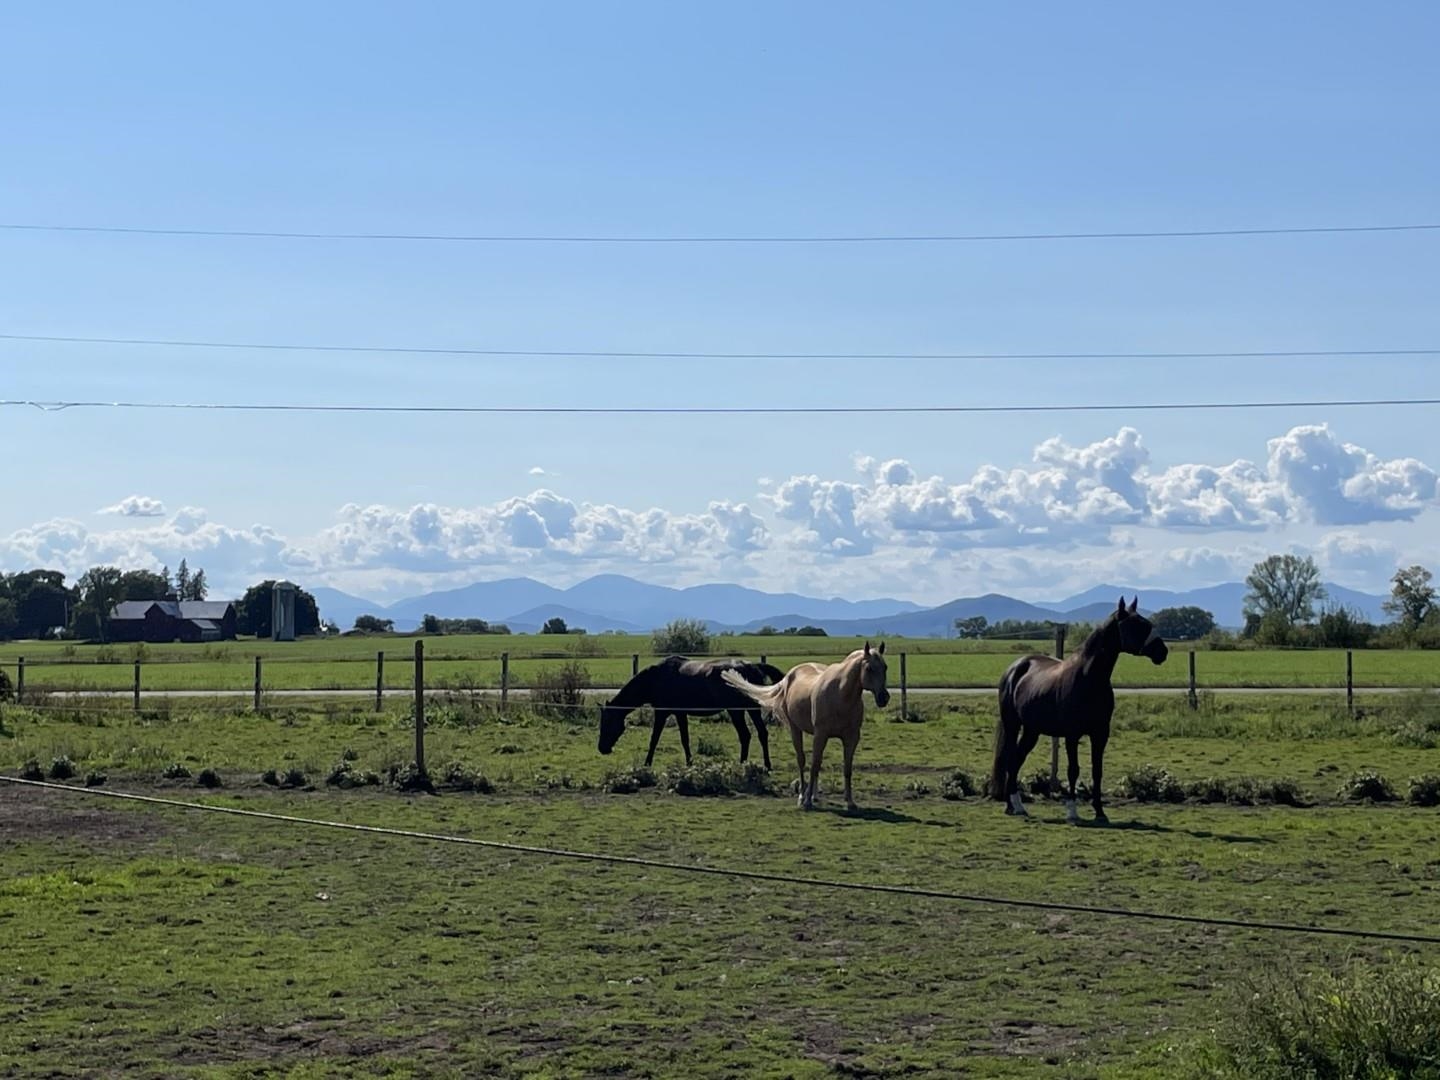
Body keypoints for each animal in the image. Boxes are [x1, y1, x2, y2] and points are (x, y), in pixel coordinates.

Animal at [593, 659, 789, 771]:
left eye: (607, 723)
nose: (602, 748)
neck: (656, 678)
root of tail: (752, 666)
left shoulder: (661, 713)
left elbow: (654, 739)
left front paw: (647, 763)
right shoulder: (680, 714)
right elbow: (685, 739)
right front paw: (689, 763)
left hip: (737, 711)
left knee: (747, 735)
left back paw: (746, 765)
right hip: (747, 710)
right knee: (758, 734)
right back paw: (761, 765)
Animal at [720, 642, 887, 812]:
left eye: (885, 667)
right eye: (869, 668)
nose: (884, 698)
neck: (840, 695)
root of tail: (788, 677)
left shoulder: (851, 737)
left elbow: (846, 768)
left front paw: (850, 802)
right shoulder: (821, 734)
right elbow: (813, 765)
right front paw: (806, 801)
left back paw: (813, 795)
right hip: (795, 730)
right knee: (802, 761)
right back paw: (802, 796)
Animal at [990, 601, 1169, 817]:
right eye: (1136, 625)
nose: (1162, 651)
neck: (1088, 678)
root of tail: (1015, 668)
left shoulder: (1100, 734)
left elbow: (1097, 771)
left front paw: (1100, 811)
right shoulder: (1072, 735)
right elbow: (1073, 770)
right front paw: (1072, 811)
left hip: (1032, 730)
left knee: (1016, 759)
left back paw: (1018, 806)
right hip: (1012, 724)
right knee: (1009, 759)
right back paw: (1011, 806)